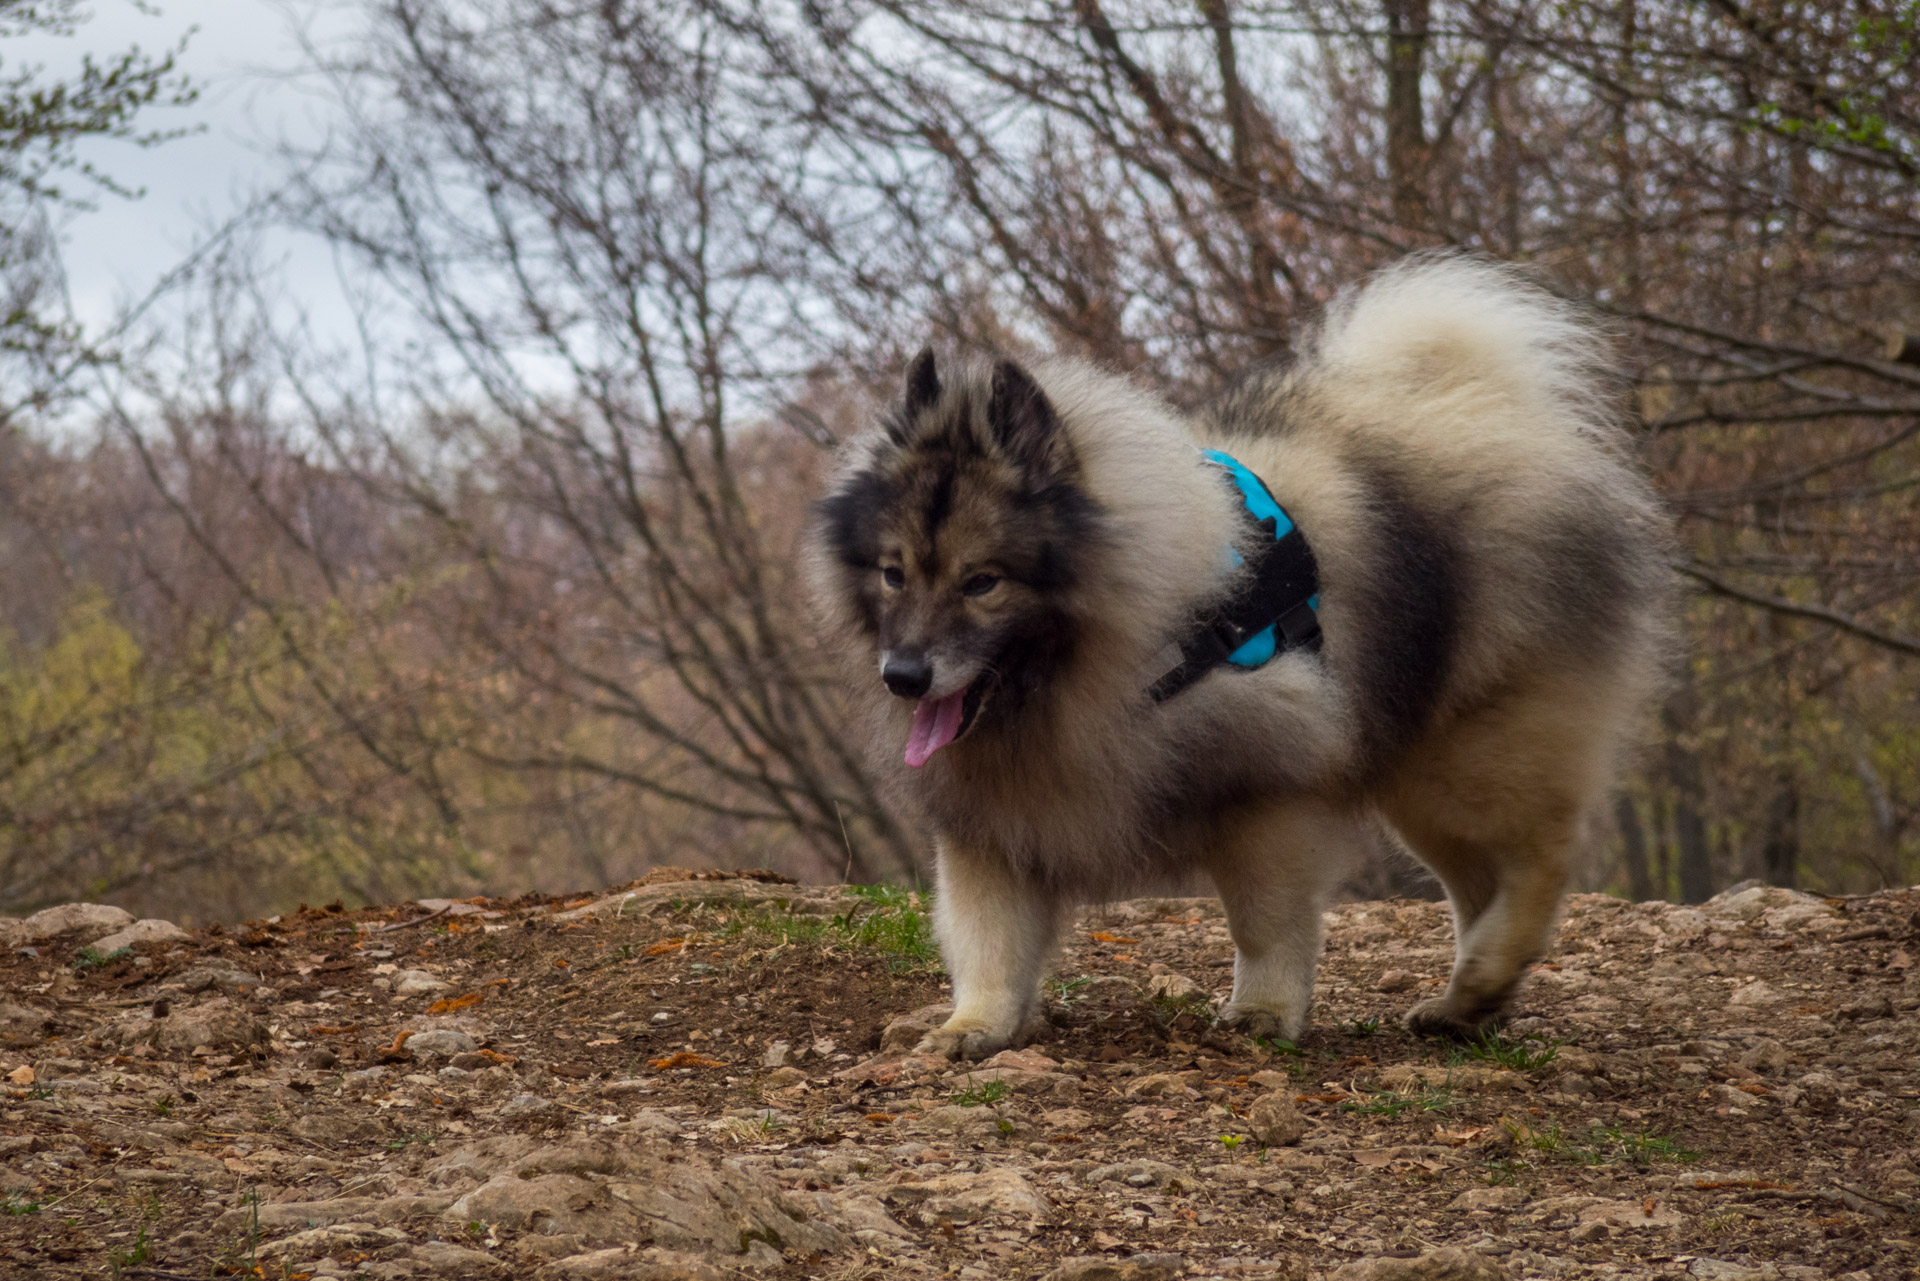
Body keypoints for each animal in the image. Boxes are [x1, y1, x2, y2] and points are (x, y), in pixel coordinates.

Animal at [802, 255, 1674, 1060]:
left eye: (982, 581)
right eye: (894, 573)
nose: (904, 675)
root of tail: (1488, 409)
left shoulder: (1268, 793)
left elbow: (1266, 921)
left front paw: (1262, 1009)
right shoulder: (994, 818)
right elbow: (989, 937)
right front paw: (974, 1024)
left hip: (1466, 757)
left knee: (1540, 852)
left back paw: (1491, 969)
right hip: (1417, 771)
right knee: (1479, 881)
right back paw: (1470, 999)